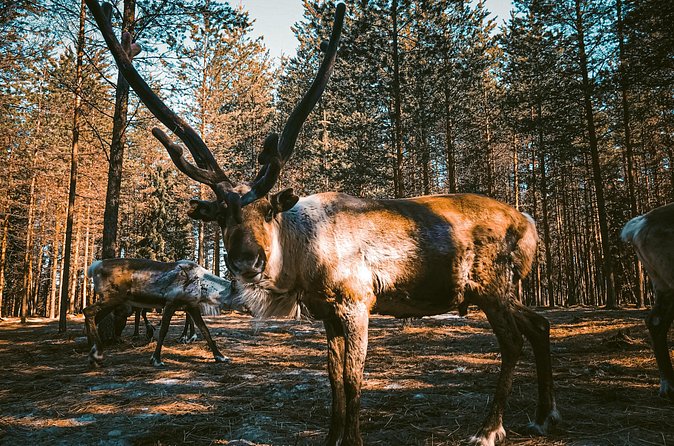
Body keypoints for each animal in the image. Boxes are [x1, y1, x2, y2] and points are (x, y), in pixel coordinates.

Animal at [84, 258, 232, 367]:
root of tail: (94, 267)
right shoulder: (170, 303)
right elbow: (163, 331)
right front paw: (156, 359)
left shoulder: (191, 307)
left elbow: (205, 330)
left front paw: (221, 357)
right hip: (113, 297)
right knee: (88, 311)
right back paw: (97, 353)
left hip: (112, 301)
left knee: (94, 317)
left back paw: (93, 353)